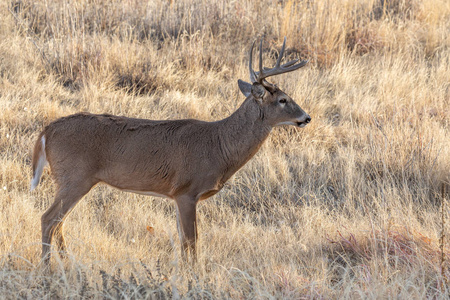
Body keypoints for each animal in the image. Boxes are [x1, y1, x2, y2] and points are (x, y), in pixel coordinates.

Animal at [30, 37, 310, 264]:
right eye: (283, 99)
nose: (306, 117)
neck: (220, 145)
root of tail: (47, 131)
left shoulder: (175, 196)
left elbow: (183, 243)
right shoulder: (187, 190)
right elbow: (192, 242)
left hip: (72, 180)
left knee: (59, 223)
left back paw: (68, 263)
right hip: (75, 177)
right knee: (48, 219)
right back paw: (47, 269)